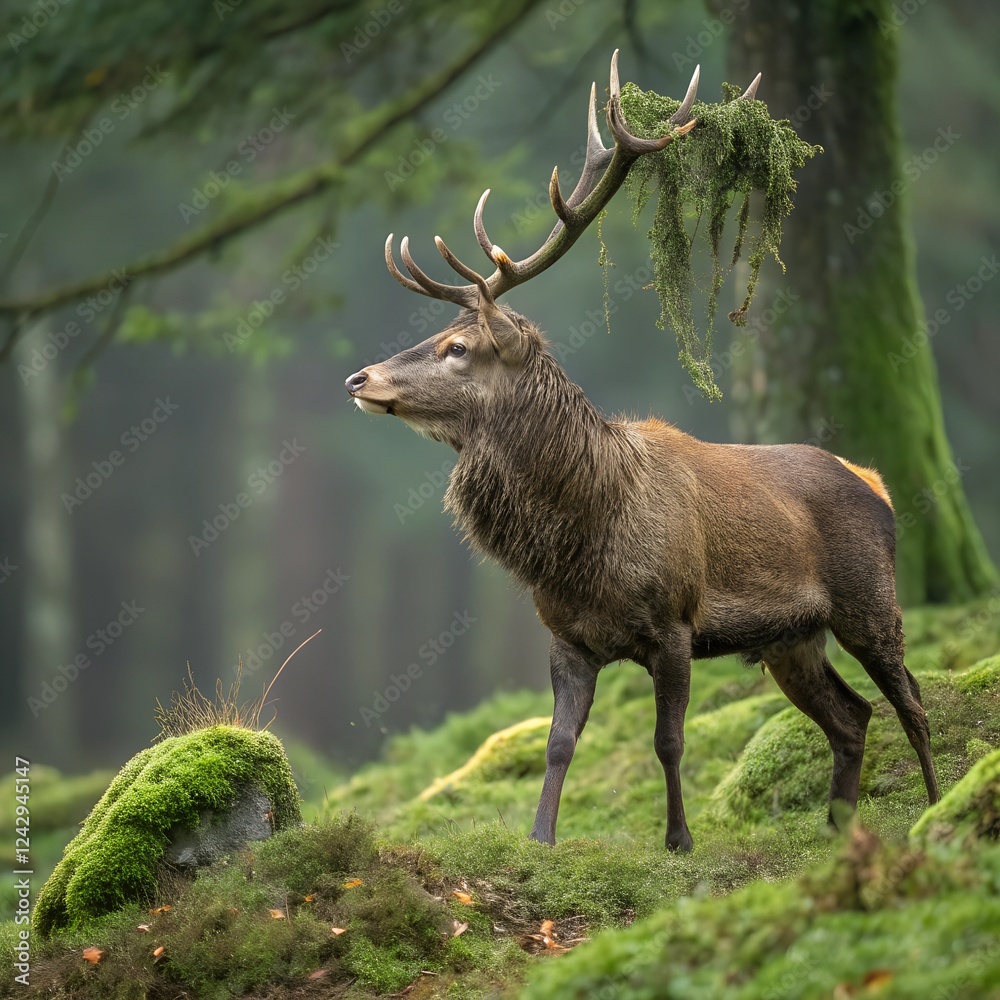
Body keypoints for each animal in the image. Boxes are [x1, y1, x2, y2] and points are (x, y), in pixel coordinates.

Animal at [345, 52, 940, 851]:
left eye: (458, 348)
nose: (359, 378)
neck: (586, 536)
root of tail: (873, 479)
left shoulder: (675, 622)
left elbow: (668, 740)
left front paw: (679, 839)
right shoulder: (566, 635)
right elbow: (558, 743)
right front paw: (540, 838)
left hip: (869, 595)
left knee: (911, 701)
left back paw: (934, 806)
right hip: (792, 637)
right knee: (852, 715)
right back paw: (839, 826)